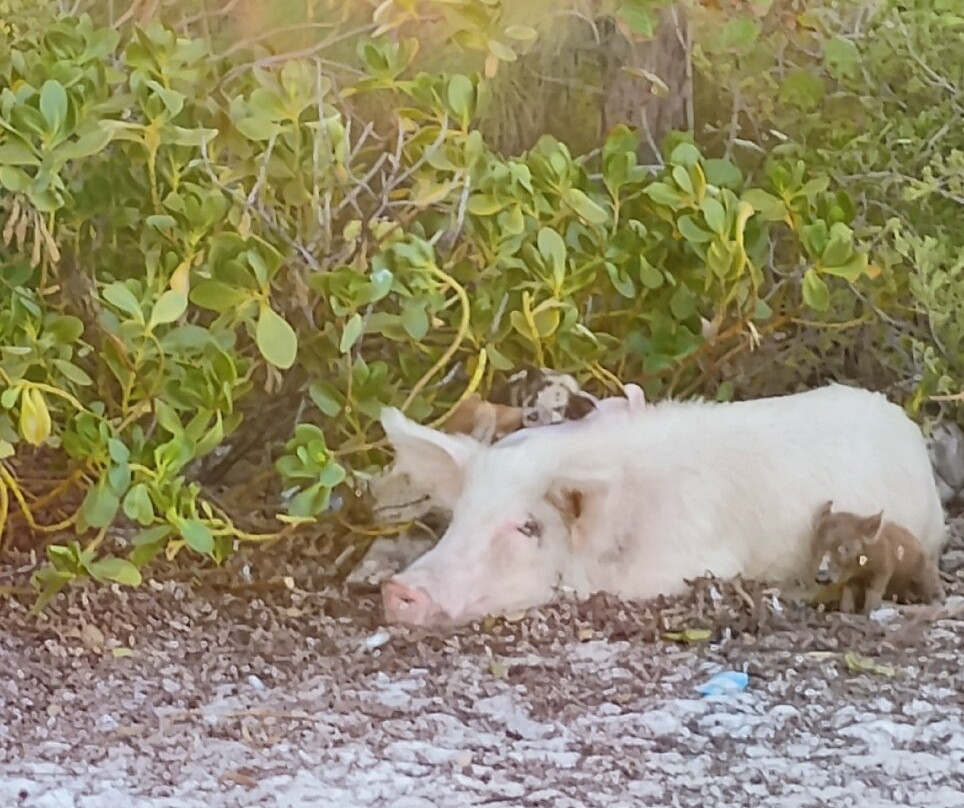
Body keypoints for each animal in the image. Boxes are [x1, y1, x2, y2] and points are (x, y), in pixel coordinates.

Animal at [810, 500, 945, 614]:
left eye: (845, 548)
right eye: (816, 545)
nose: (821, 573)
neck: (860, 571)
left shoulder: (885, 566)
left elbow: (874, 589)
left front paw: (869, 611)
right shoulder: (851, 579)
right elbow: (848, 590)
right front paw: (846, 611)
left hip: (927, 573)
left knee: (936, 596)